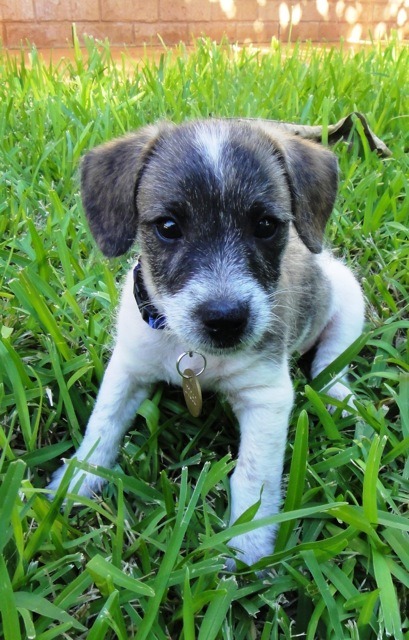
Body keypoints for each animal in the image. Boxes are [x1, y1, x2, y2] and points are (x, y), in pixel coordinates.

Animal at [48, 118, 365, 567]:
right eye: (168, 227)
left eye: (266, 226)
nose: (226, 319)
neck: (193, 352)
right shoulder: (127, 368)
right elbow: (102, 427)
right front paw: (77, 481)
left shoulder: (266, 397)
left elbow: (254, 475)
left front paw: (249, 541)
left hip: (348, 297)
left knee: (331, 359)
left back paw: (338, 395)